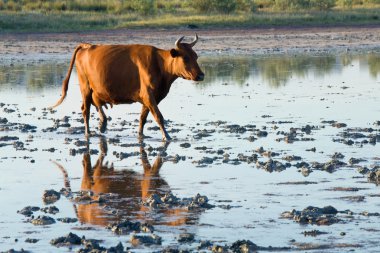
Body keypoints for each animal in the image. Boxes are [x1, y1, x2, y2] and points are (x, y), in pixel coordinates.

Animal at [51, 35, 205, 141]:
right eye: (185, 58)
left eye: (196, 56)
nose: (201, 75)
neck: (159, 64)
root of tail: (87, 46)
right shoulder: (148, 95)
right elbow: (158, 116)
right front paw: (167, 136)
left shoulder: (150, 98)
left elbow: (143, 118)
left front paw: (140, 135)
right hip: (85, 87)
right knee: (85, 109)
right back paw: (88, 132)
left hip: (95, 89)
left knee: (96, 103)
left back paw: (103, 123)